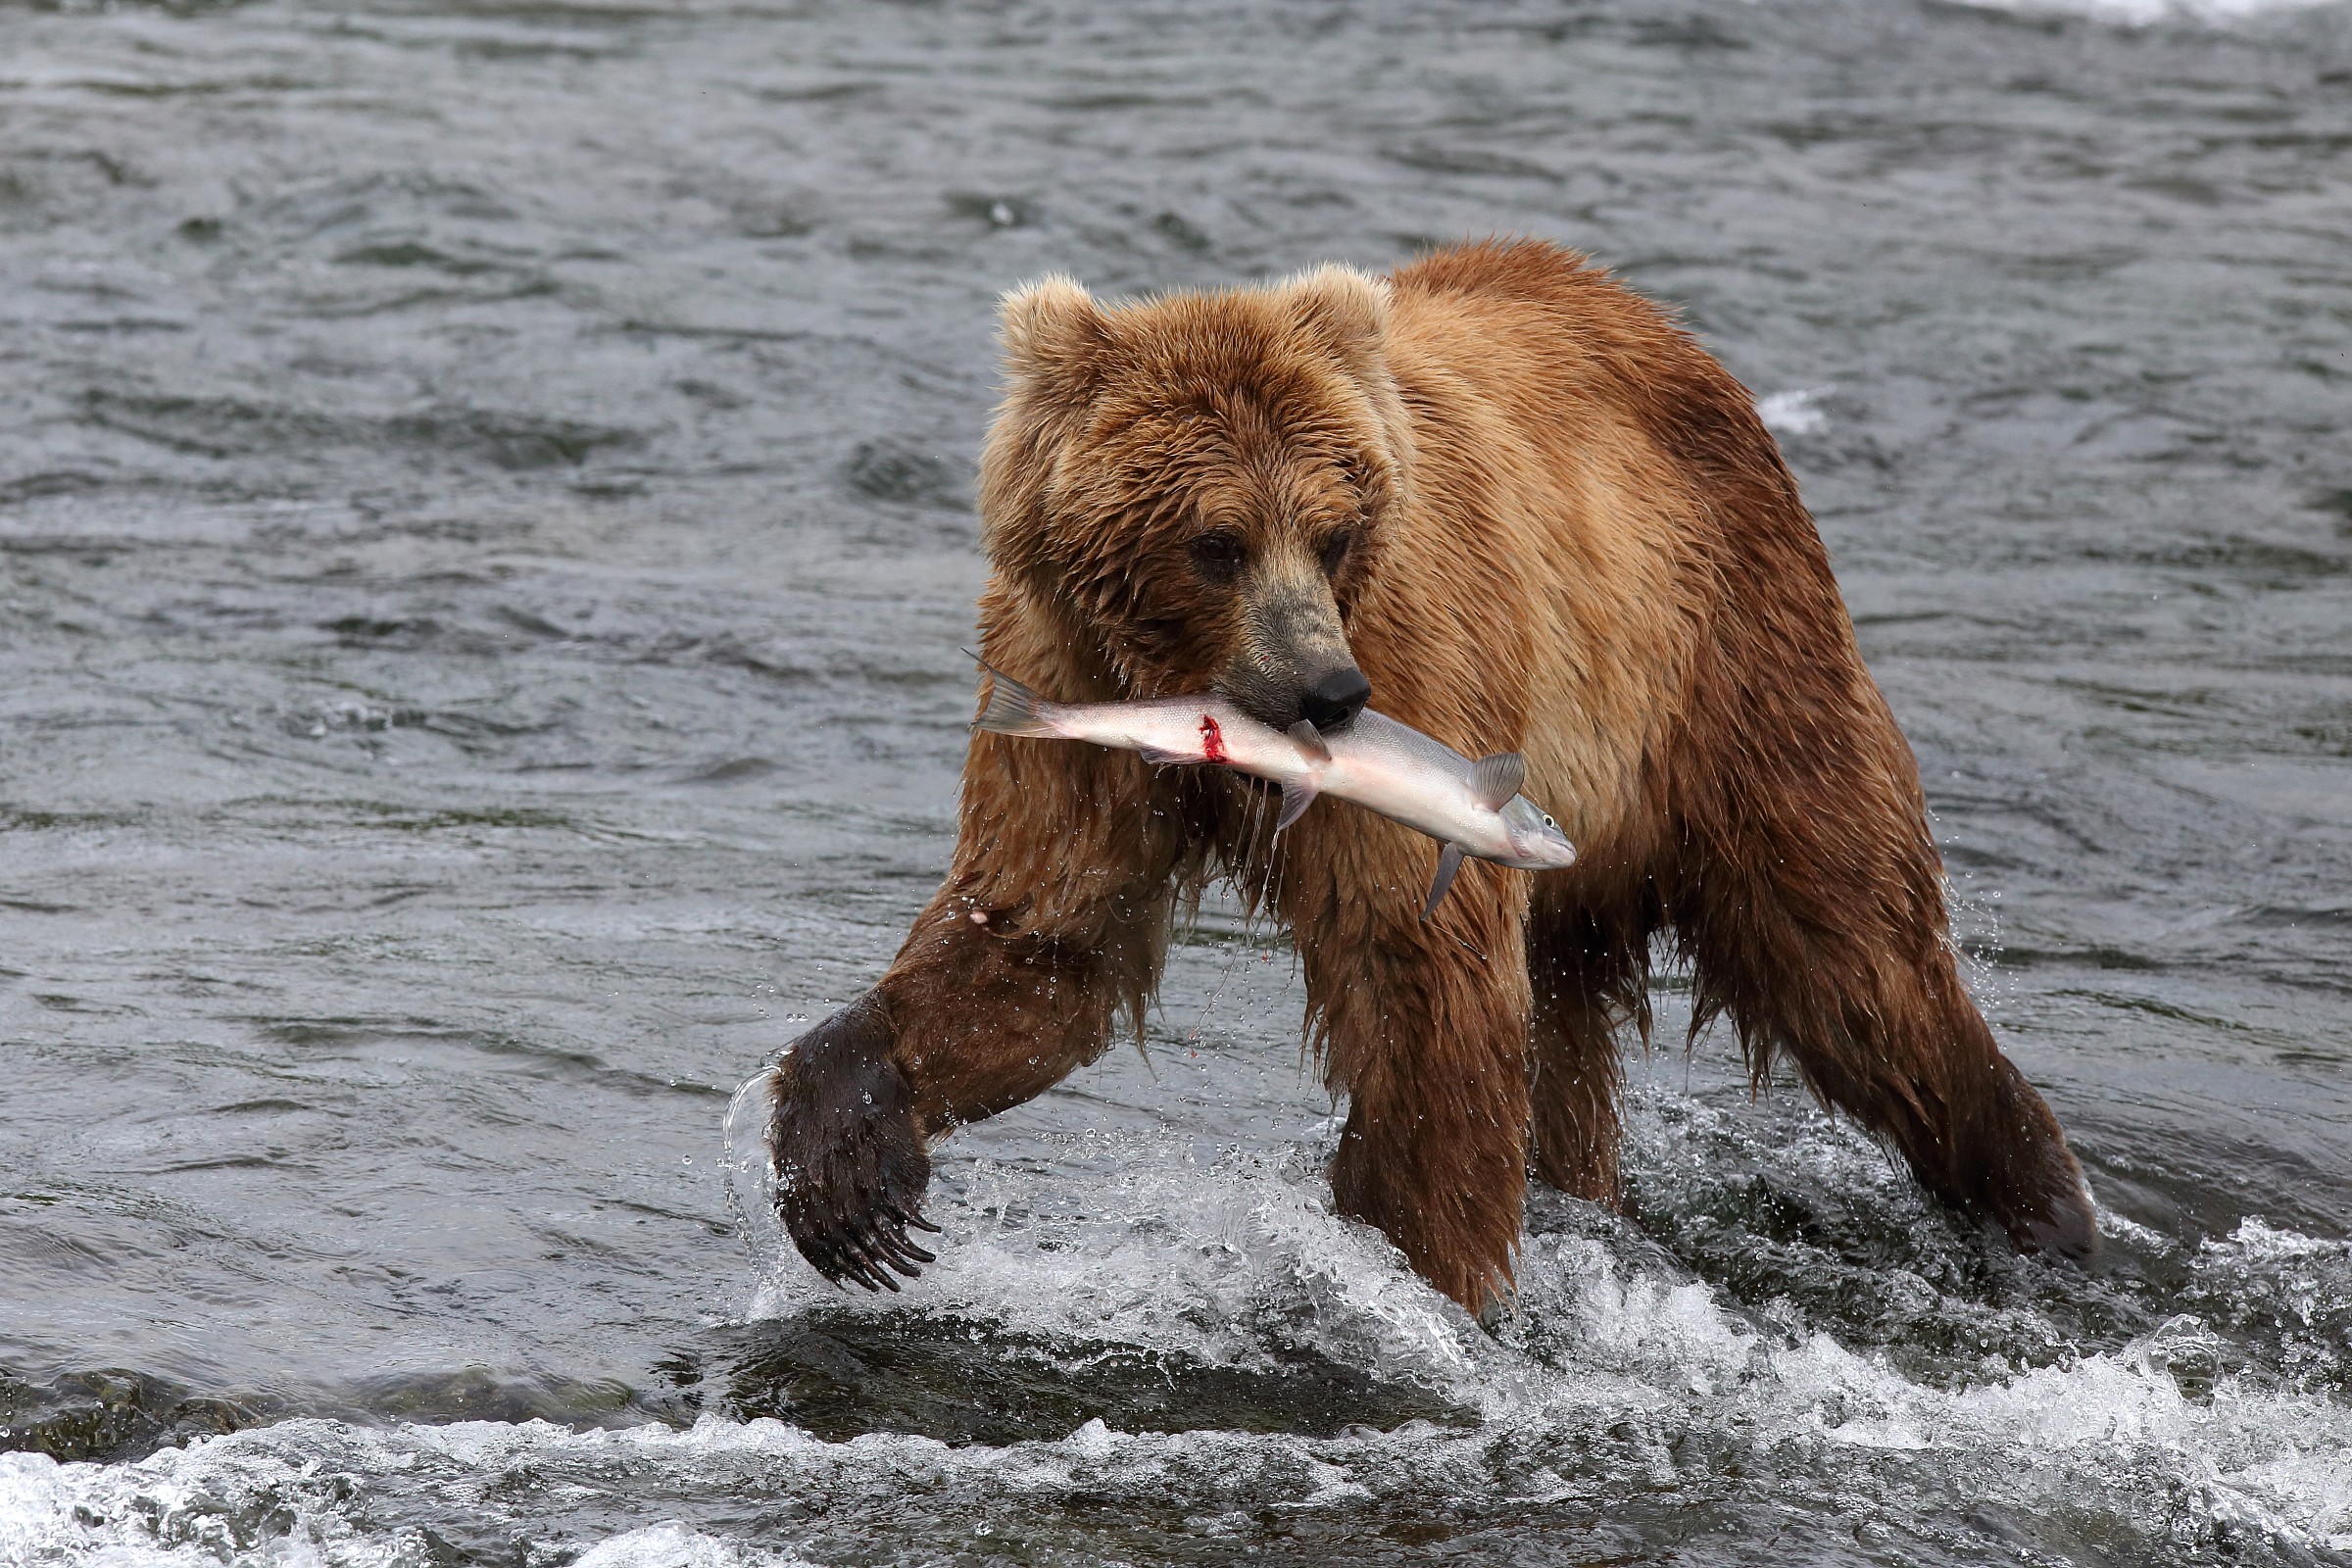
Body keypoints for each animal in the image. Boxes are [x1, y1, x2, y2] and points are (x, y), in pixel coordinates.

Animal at [767, 238, 2096, 1316]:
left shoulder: (1424, 664)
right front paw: (847, 1159)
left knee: (1852, 954)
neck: (1188, 677)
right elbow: (1047, 933)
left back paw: (2048, 1209)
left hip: (1730, 667)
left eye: (1334, 528)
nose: (1327, 695)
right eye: (1217, 540)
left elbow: (1420, 980)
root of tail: (1666, 329)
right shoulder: (1065, 673)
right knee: (1574, 1025)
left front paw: (1421, 1266)